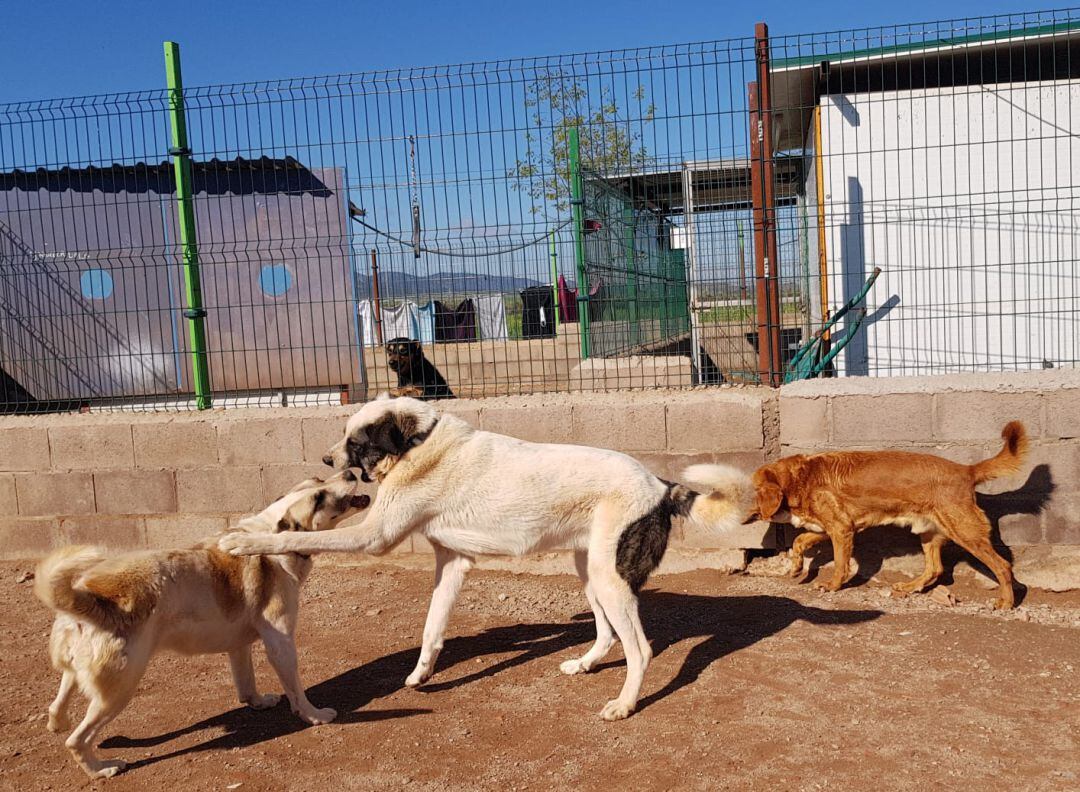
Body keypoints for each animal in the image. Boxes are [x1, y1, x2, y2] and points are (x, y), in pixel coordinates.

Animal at [34, 468, 371, 777]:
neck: (272, 535)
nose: (350, 471)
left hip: (82, 673)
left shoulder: (239, 645)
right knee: (77, 740)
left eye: (318, 480)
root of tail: (90, 598)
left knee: (58, 703)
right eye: (319, 498)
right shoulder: (281, 642)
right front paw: (315, 716)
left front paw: (258, 702)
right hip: (118, 690)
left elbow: (246, 683)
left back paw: (57, 723)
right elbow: (297, 691)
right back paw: (101, 768)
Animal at [223, 393, 747, 717]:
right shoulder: (452, 563)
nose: (329, 461)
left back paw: (624, 705)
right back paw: (585, 663)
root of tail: (660, 485)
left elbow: (294, 538)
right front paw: (421, 674)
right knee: (607, 634)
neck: (422, 443)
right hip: (590, 571)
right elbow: (432, 628)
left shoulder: (375, 537)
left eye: (357, 442)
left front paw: (241, 541)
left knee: (640, 648)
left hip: (609, 577)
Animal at [747, 423, 1023, 609]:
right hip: (929, 533)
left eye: (756, 492)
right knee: (935, 568)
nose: (746, 514)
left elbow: (839, 564)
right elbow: (798, 541)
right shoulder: (831, 528)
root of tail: (967, 470)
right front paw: (796, 567)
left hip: (965, 533)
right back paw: (910, 587)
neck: (800, 478)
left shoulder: (841, 529)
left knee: (1003, 566)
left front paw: (832, 585)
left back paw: (1006, 603)